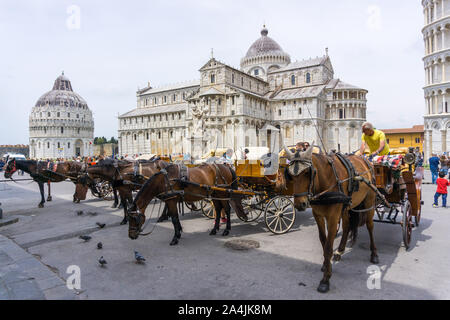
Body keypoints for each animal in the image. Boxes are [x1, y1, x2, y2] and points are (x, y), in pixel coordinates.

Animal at [284, 146, 380, 294]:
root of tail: (364, 160)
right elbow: (323, 241)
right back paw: (340, 250)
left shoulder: (333, 216)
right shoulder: (318, 215)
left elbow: (329, 246)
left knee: (370, 226)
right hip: (347, 206)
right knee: (347, 226)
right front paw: (326, 264)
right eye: (290, 175)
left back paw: (374, 253)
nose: (300, 204)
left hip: (369, 200)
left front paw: (325, 280)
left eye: (306, 172)